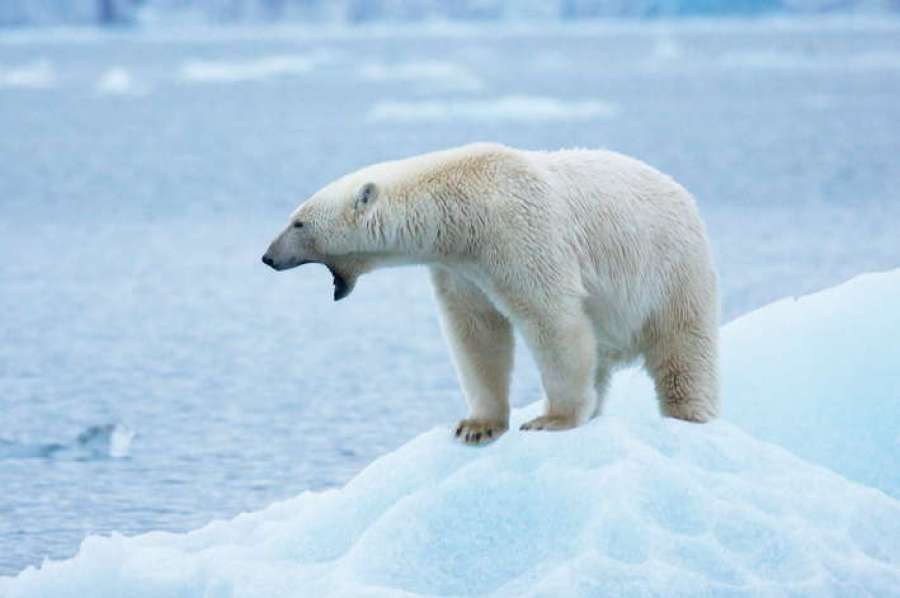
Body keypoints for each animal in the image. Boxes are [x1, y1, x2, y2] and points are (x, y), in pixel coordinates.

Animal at [262, 142, 719, 445]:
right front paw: (476, 426)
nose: (267, 257)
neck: (461, 205)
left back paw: (688, 417)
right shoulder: (461, 267)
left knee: (682, 353)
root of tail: (684, 195)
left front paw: (551, 419)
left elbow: (551, 318)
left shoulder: (518, 232)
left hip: (671, 272)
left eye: (298, 222)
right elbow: (476, 332)